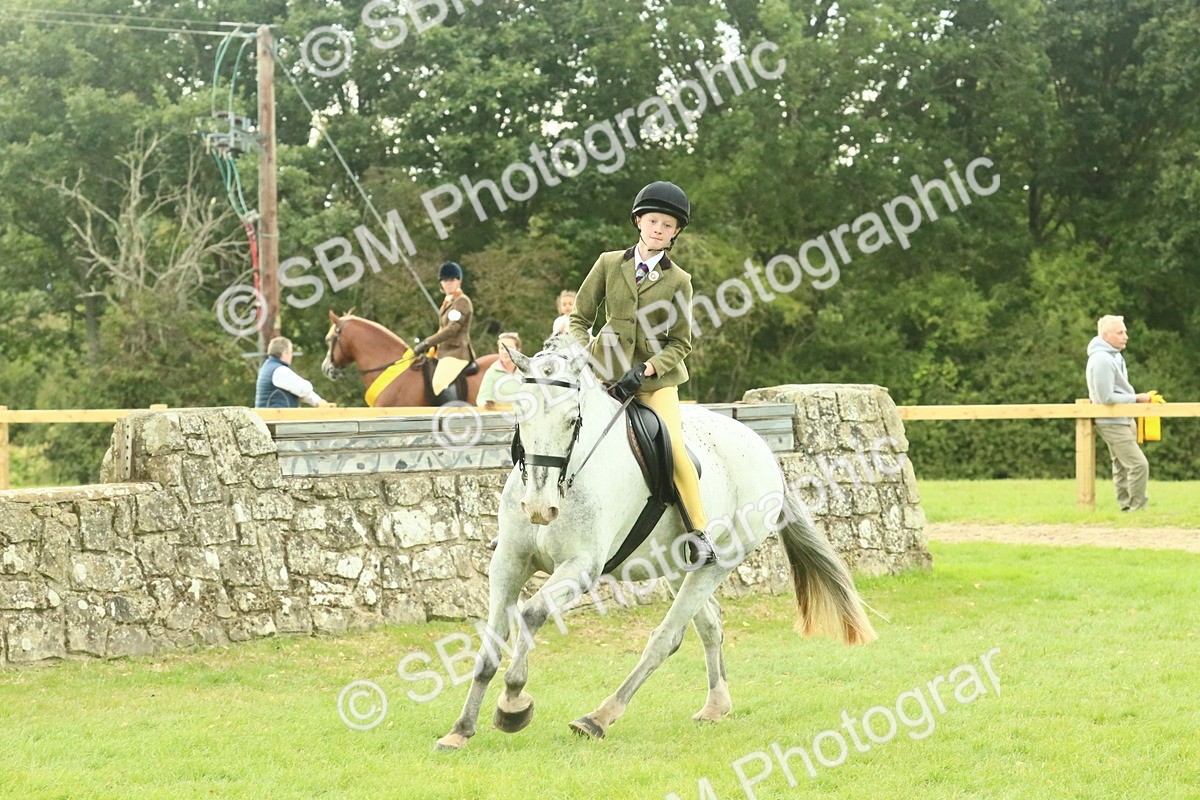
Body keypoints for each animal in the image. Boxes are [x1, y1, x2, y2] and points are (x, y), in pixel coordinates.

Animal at [435, 335, 877, 751]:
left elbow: (531, 615)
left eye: (573, 420)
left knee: (665, 639)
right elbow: (489, 648)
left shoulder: (580, 567)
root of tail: (764, 451)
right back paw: (716, 706)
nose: (540, 509)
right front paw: (460, 729)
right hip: (681, 566)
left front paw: (513, 705)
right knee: (710, 626)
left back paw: (599, 717)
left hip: (720, 562)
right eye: (520, 414)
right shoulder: (509, 563)